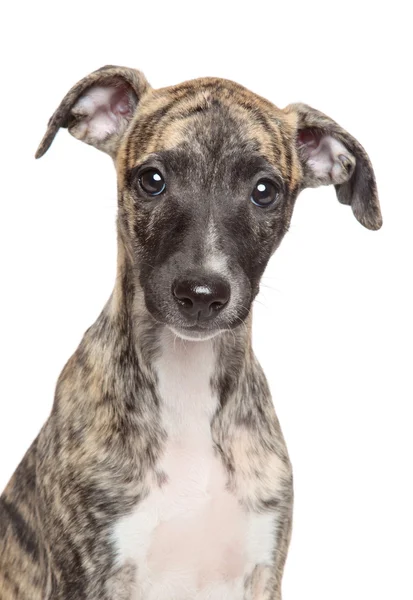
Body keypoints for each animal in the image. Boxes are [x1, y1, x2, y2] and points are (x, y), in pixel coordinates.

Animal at [0, 67, 380, 600]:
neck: (186, 382)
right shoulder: (90, 578)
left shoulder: (262, 574)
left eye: (265, 190)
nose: (202, 294)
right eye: (152, 180)